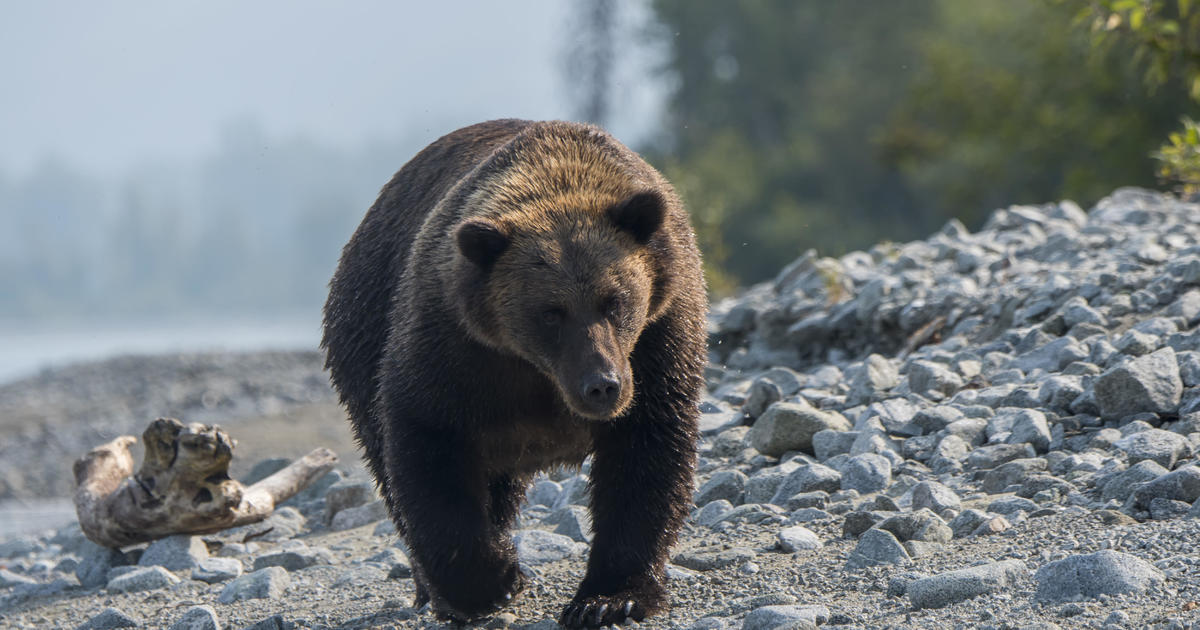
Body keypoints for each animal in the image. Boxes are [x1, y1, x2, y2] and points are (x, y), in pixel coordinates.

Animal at [324, 120, 705, 624]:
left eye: (615, 300)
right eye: (551, 312)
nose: (602, 386)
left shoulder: (658, 334)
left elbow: (647, 450)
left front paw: (609, 598)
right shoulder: (454, 343)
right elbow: (428, 444)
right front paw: (493, 581)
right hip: (363, 327)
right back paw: (433, 589)